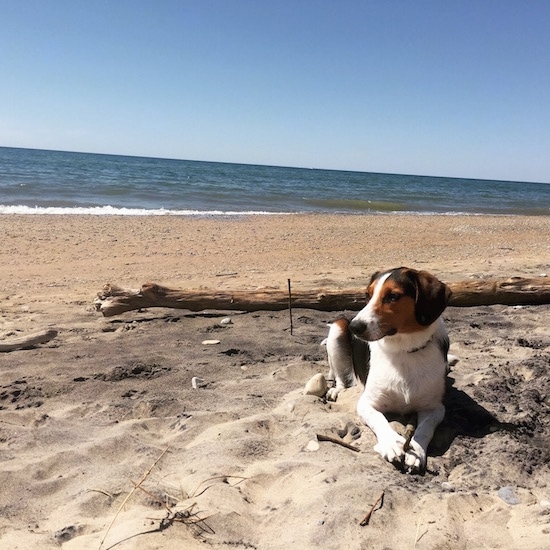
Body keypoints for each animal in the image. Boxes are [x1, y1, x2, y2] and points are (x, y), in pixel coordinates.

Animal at [328, 268, 452, 474]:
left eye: (393, 296)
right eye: (368, 295)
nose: (355, 326)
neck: (404, 350)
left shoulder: (435, 408)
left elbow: (425, 429)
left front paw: (416, 451)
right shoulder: (366, 404)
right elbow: (380, 419)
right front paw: (392, 443)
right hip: (337, 328)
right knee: (340, 377)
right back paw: (336, 390)